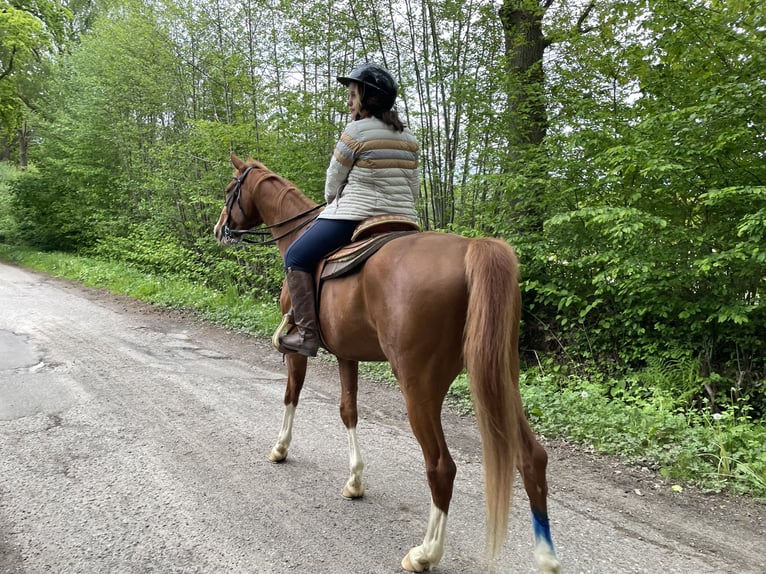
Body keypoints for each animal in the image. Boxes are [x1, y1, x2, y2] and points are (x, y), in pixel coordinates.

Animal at [214, 152, 561, 573]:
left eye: (231, 189)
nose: (219, 229)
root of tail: (469, 249)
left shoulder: (296, 351)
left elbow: (291, 396)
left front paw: (280, 449)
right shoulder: (347, 354)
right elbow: (348, 411)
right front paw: (354, 482)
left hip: (419, 387)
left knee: (441, 467)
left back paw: (425, 553)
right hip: (501, 380)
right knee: (532, 457)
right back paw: (546, 557)